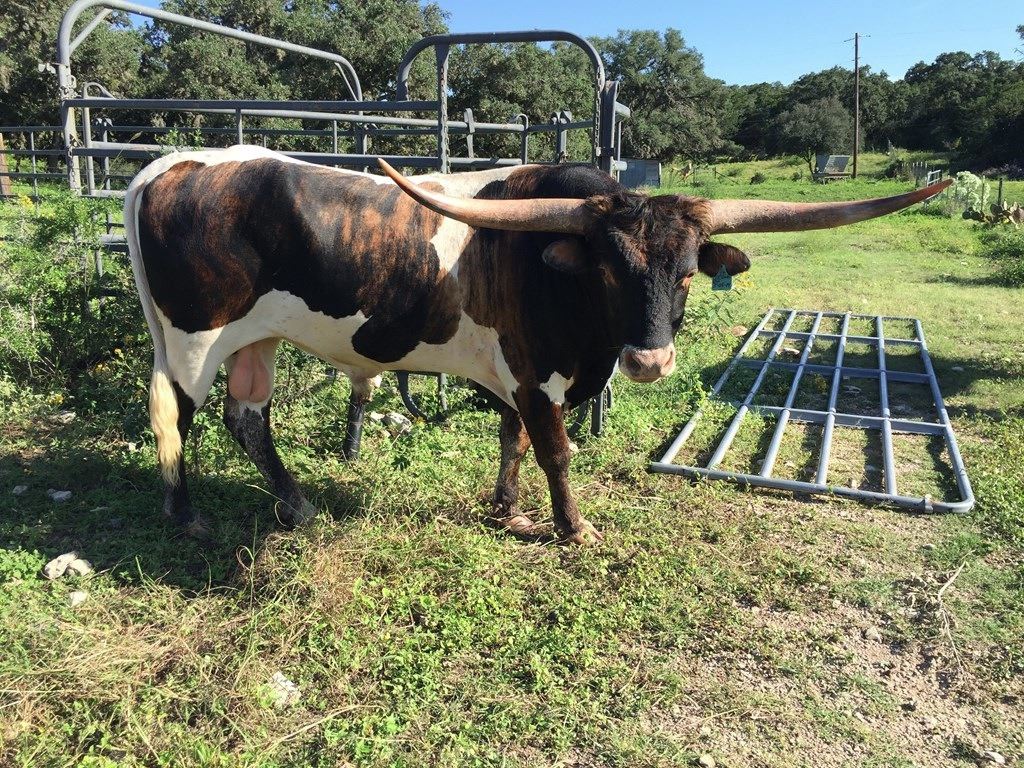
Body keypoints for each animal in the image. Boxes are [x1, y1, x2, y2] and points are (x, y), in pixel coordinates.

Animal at [124, 145, 949, 543]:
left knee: (246, 418)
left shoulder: (514, 376)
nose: (650, 361)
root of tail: (172, 165)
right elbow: (554, 449)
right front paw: (571, 527)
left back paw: (296, 506)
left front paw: (509, 511)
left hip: (255, 338)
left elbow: (511, 441)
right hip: (194, 336)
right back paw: (184, 513)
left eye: (687, 272)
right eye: (611, 272)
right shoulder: (538, 374)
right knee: (176, 415)